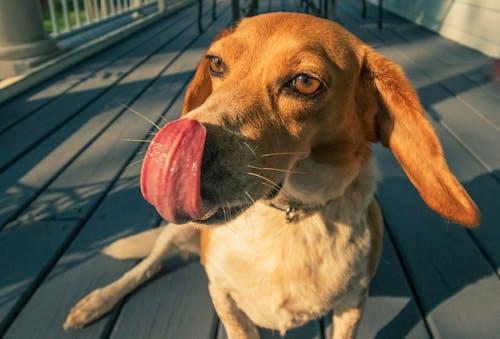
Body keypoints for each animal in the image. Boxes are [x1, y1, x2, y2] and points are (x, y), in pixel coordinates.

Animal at [63, 11, 480, 338]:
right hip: (176, 231)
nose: (176, 153)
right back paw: (96, 301)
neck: (287, 216)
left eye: (305, 82)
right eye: (216, 63)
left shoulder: (352, 304)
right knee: (149, 264)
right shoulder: (222, 296)